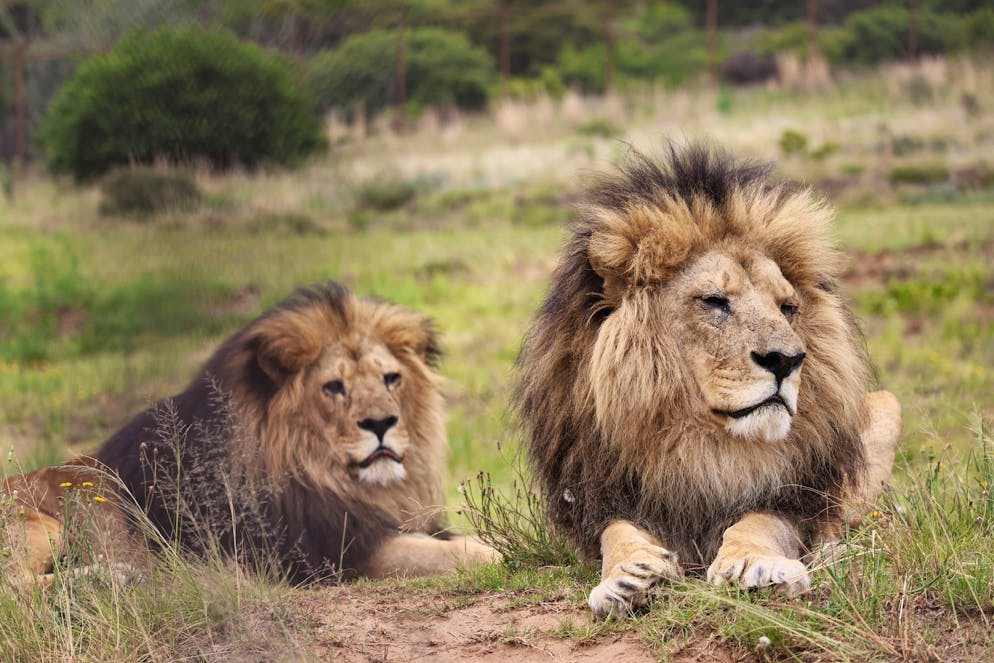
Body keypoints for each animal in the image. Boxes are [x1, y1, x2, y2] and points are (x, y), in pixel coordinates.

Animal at [3, 282, 498, 587]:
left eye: (391, 378)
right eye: (333, 387)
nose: (381, 424)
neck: (325, 475)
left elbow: (455, 541)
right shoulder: (329, 555)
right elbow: (451, 553)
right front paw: (502, 554)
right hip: (42, 525)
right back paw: (108, 578)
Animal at [516, 143, 902, 618]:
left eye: (787, 308)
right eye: (715, 301)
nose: (788, 360)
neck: (704, 447)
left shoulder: (794, 498)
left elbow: (759, 523)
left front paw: (755, 565)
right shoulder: (599, 497)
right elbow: (618, 533)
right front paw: (628, 576)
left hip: (885, 406)